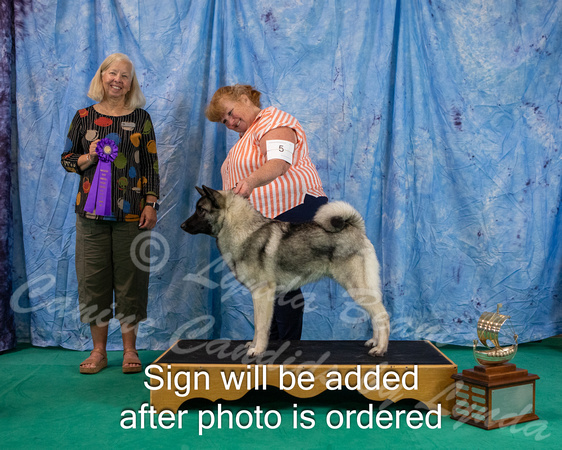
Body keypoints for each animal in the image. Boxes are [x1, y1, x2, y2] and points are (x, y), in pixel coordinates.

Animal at [182, 185, 388, 356]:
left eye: (201, 210)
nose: (182, 225)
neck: (243, 229)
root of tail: (355, 227)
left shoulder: (262, 293)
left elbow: (261, 325)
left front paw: (257, 350)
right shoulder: (260, 296)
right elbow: (258, 324)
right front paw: (254, 345)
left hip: (357, 287)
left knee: (382, 315)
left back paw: (380, 349)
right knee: (375, 315)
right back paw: (374, 341)